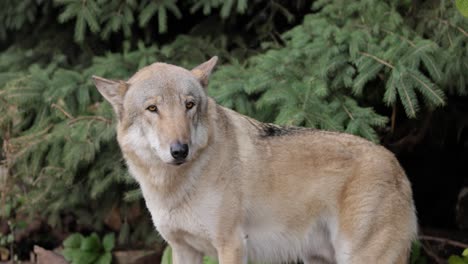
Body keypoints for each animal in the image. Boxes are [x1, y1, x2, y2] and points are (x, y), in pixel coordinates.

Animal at [92, 56, 416, 262]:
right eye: (152, 108)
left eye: (189, 105)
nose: (180, 150)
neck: (175, 186)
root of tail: (398, 165)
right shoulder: (182, 250)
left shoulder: (232, 246)